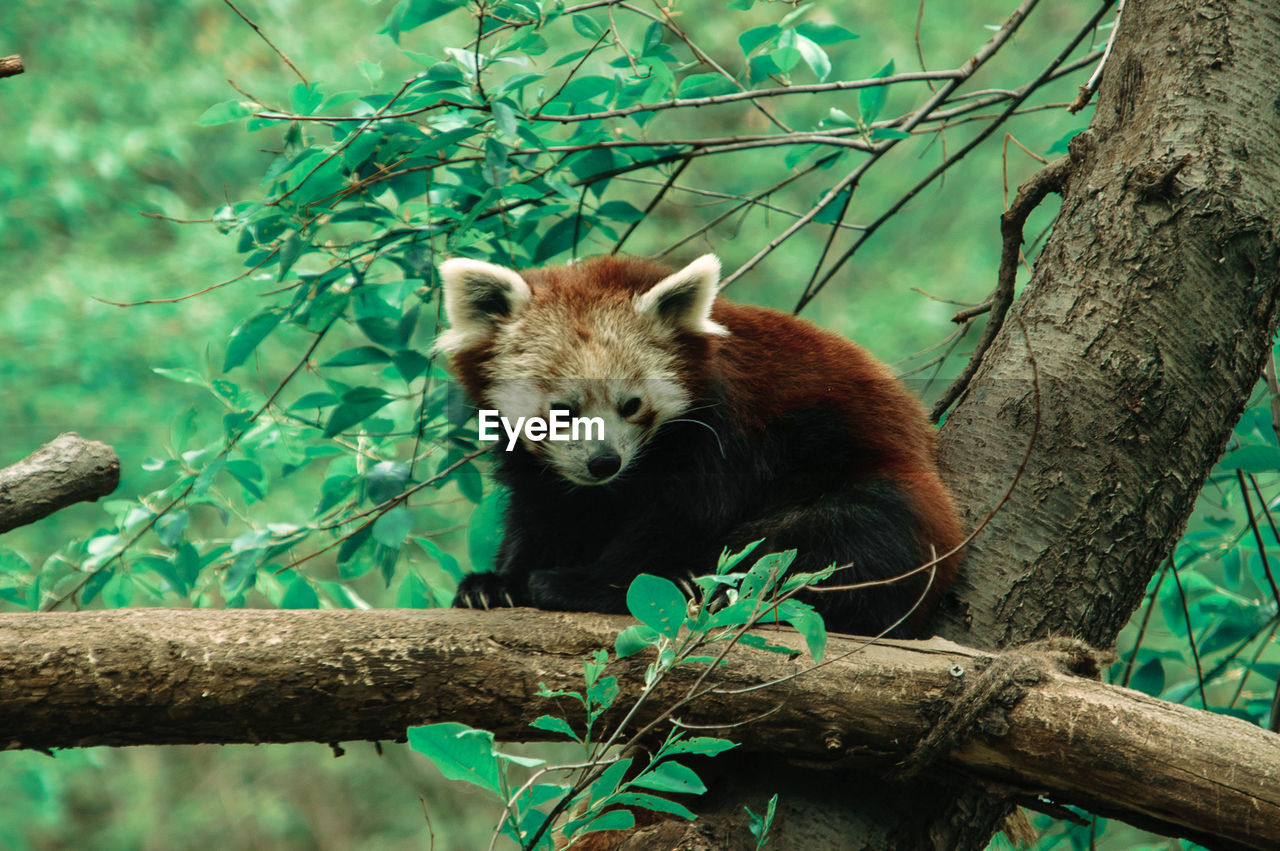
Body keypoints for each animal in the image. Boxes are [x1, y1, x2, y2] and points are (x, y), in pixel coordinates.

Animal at [437, 253, 962, 637]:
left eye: (631, 405)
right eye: (563, 410)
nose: (605, 462)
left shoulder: (726, 433)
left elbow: (683, 516)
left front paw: (594, 581)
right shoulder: (546, 469)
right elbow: (542, 512)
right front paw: (495, 583)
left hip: (872, 486)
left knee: (830, 537)